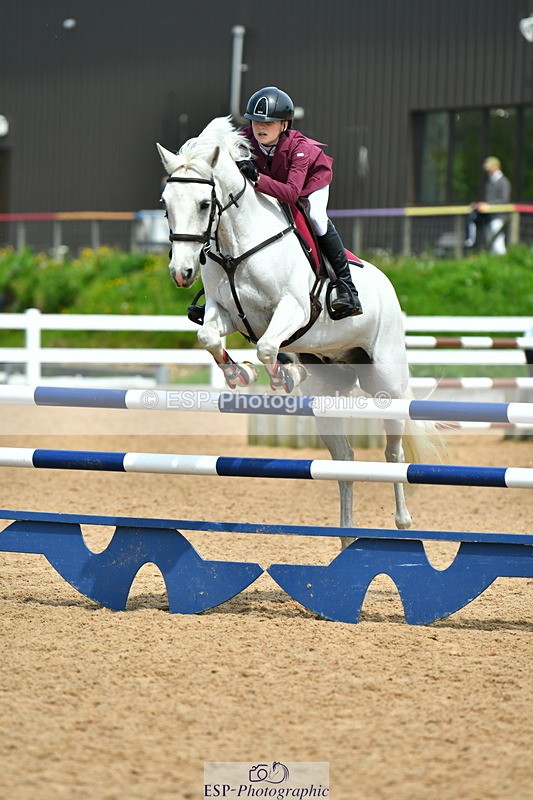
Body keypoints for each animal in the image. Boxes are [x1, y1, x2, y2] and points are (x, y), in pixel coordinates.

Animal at [157, 116, 442, 538]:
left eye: (205, 204)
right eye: (165, 206)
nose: (182, 273)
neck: (236, 244)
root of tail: (387, 285)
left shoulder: (291, 308)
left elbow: (266, 347)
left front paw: (281, 377)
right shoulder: (224, 312)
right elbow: (209, 336)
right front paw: (241, 374)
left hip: (386, 382)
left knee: (394, 450)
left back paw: (403, 521)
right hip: (327, 391)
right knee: (344, 460)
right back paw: (346, 535)